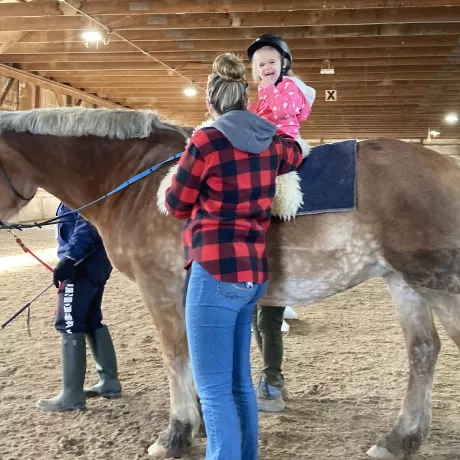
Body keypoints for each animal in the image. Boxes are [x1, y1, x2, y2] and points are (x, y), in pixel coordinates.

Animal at [0, 108, 460, 460]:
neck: (134, 181)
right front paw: (201, 424)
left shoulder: (160, 287)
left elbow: (176, 355)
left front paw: (176, 435)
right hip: (404, 282)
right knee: (423, 351)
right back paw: (400, 440)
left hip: (437, 282)